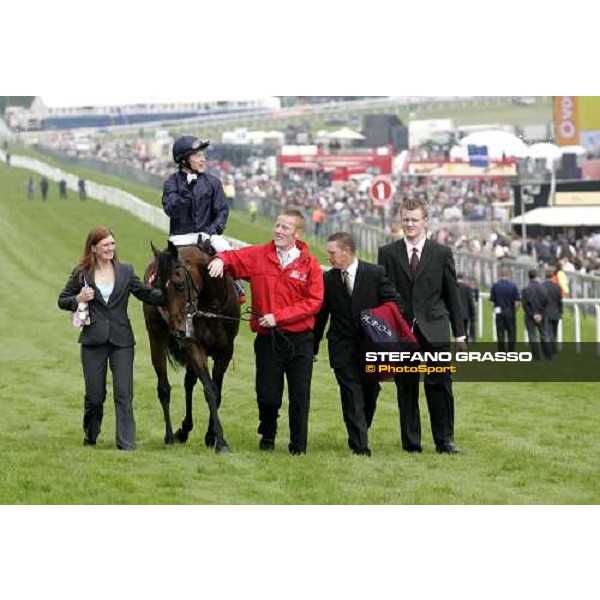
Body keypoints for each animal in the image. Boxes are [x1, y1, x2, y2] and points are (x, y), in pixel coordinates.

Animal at [144, 239, 240, 450]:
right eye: (158, 287)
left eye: (179, 284)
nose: (177, 329)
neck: (211, 308)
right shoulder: (194, 346)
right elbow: (210, 390)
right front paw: (221, 441)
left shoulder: (225, 351)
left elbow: (216, 391)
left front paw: (211, 436)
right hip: (156, 336)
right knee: (164, 388)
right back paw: (171, 435)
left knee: (189, 381)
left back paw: (184, 429)